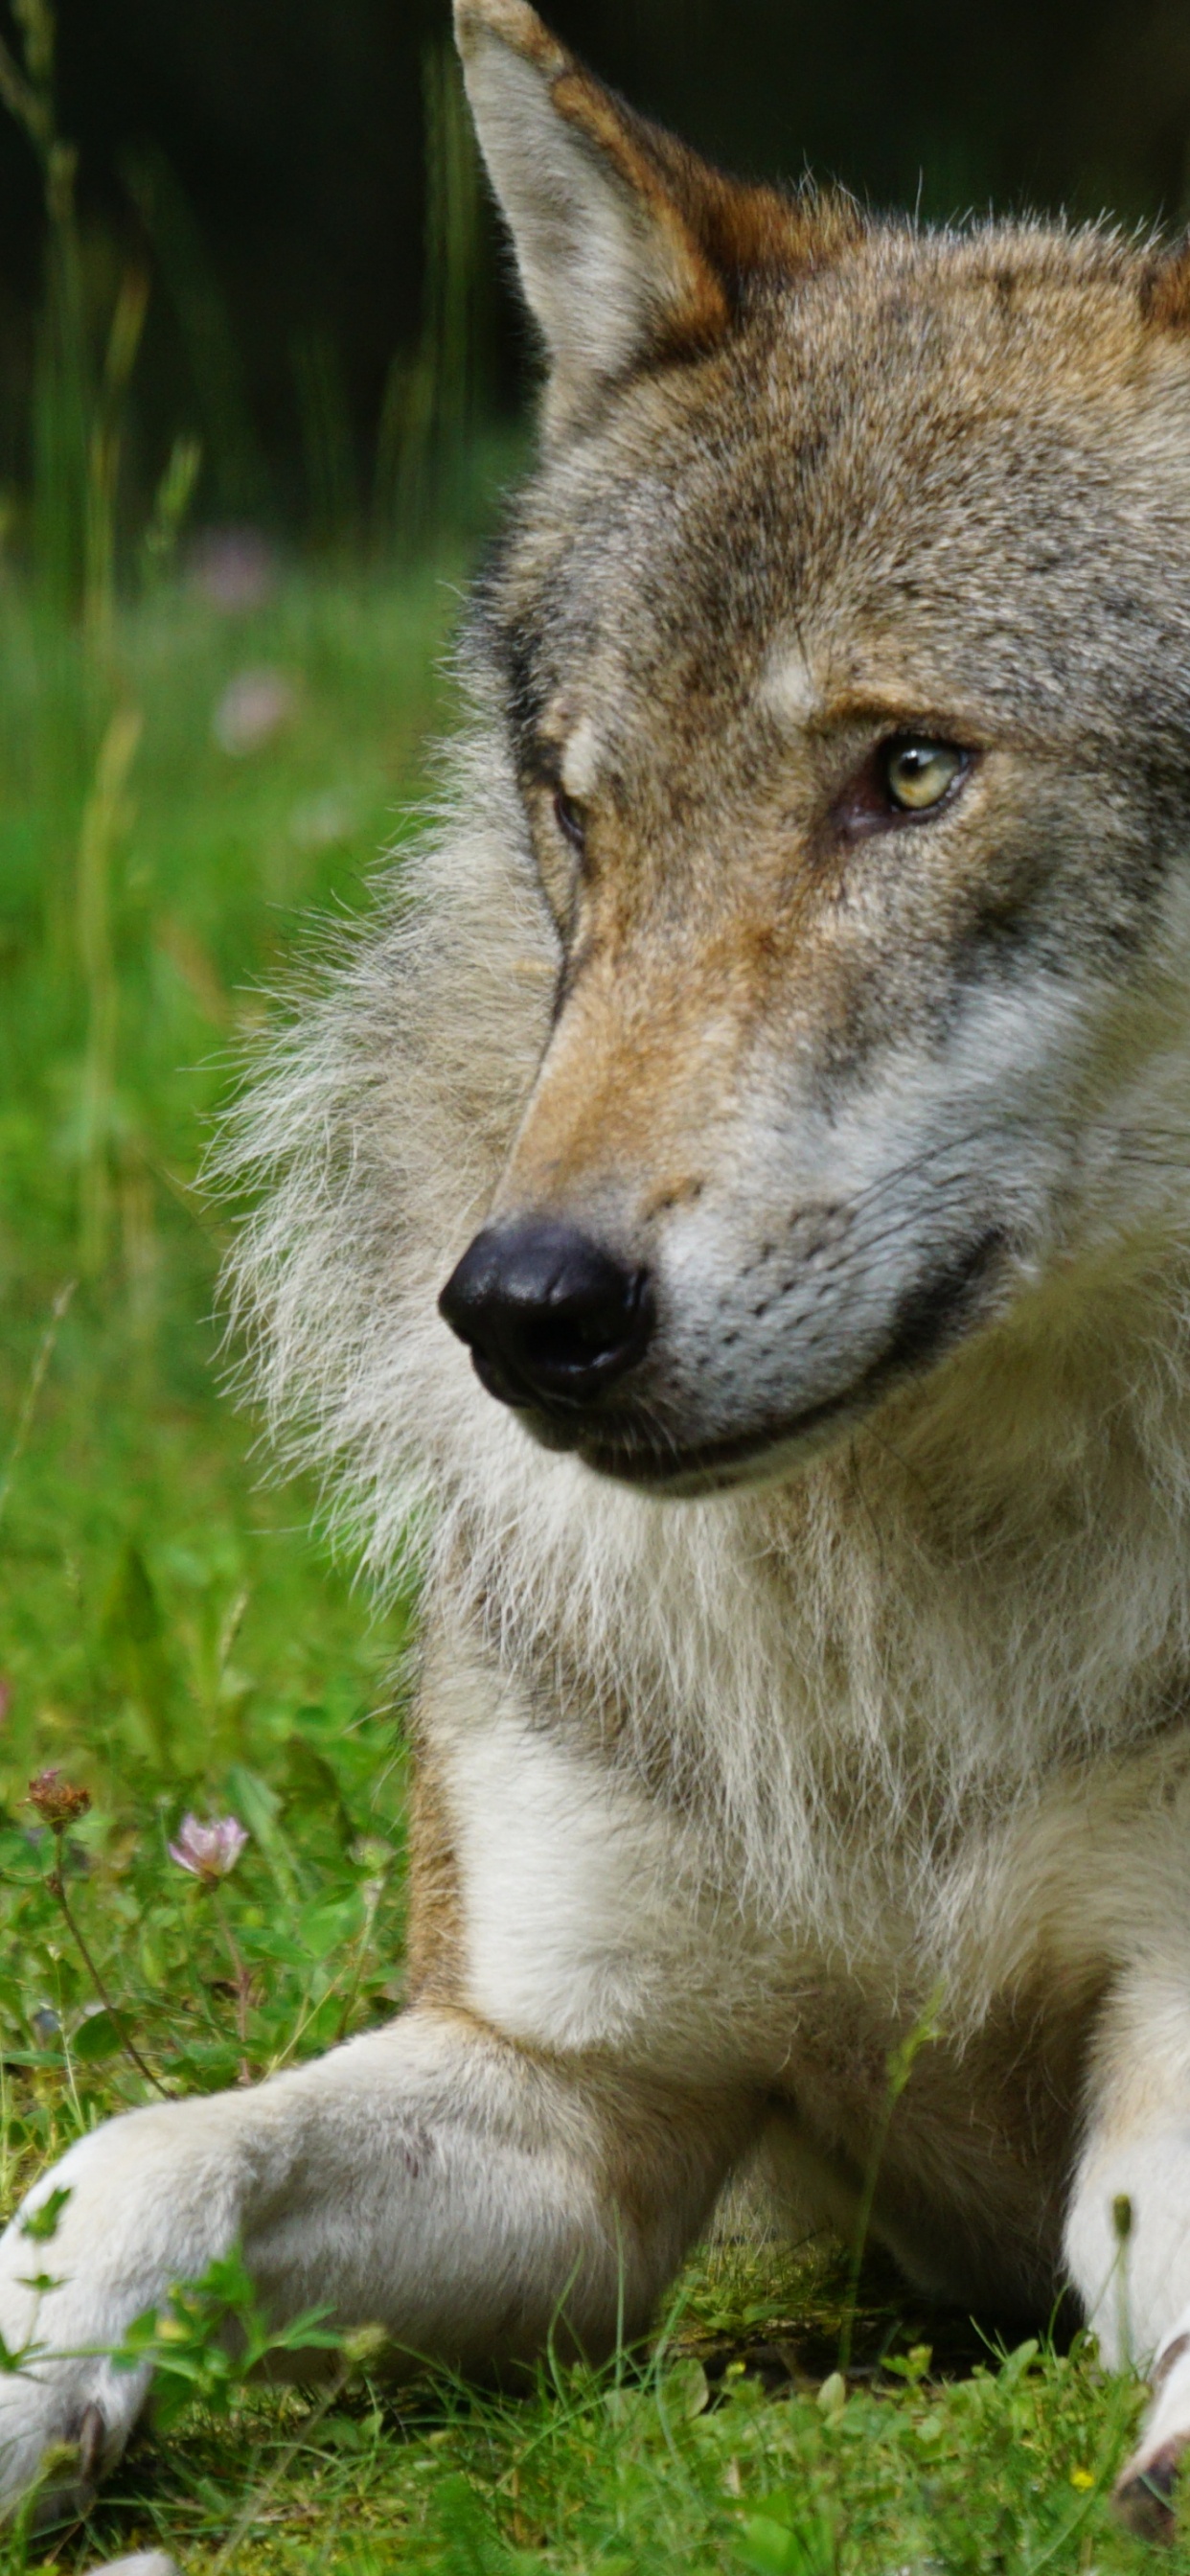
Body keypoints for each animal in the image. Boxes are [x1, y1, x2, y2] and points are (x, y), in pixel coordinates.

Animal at [2, 0, 1190, 2534]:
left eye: (911, 773)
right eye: (579, 805)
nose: (522, 1314)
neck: (902, 1660)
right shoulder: (584, 2107)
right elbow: (138, 2162)